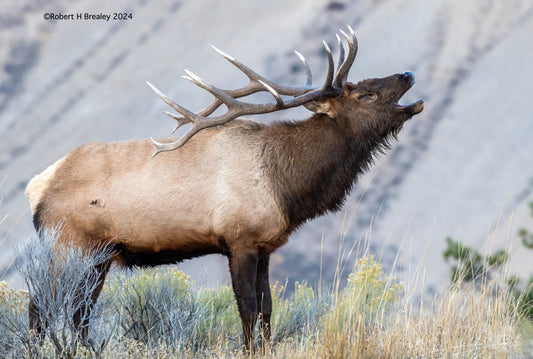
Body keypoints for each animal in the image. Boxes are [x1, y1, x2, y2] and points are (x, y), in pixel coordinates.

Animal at [25, 27, 424, 352]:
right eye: (365, 94)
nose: (408, 74)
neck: (287, 187)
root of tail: (36, 187)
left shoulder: (266, 244)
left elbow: (267, 308)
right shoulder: (239, 238)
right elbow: (247, 307)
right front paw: (248, 350)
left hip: (98, 258)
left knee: (78, 313)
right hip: (65, 247)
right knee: (40, 307)